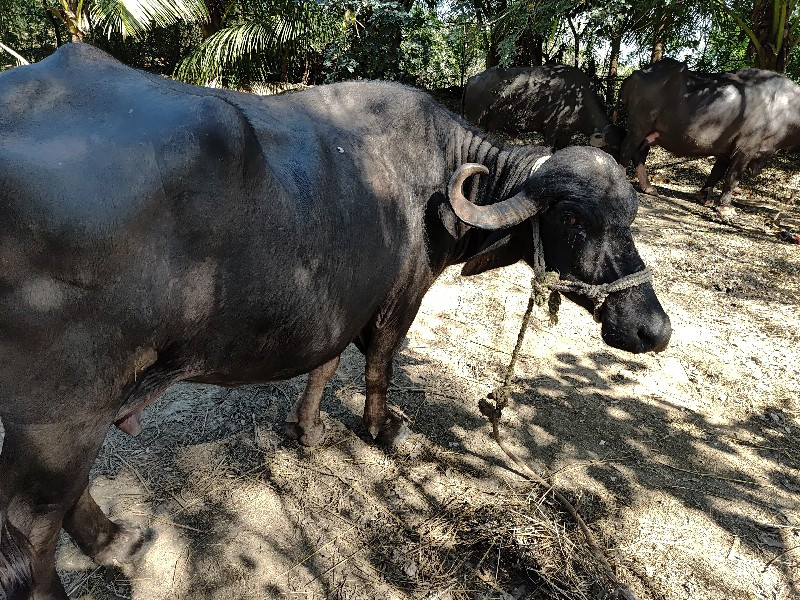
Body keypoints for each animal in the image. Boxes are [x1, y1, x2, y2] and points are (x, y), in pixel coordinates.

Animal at [460, 65, 620, 155]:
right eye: (612, 148)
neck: (579, 99)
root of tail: (472, 79)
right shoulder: (551, 129)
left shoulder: (567, 133)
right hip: (474, 119)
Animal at [620, 57, 800, 217]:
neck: (784, 106)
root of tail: (638, 73)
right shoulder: (745, 149)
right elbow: (732, 177)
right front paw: (725, 208)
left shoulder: (728, 151)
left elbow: (716, 173)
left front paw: (704, 196)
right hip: (639, 125)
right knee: (626, 149)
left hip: (650, 132)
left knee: (639, 154)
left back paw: (648, 187)